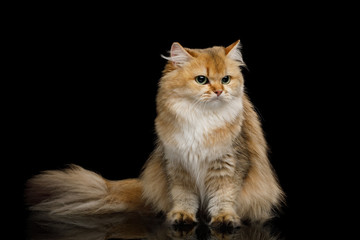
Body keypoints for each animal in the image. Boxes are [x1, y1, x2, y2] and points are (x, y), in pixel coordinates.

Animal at [26, 40, 284, 229]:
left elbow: (223, 197)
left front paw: (224, 219)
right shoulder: (177, 165)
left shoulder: (229, 164)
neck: (201, 118)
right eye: (202, 79)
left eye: (226, 79)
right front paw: (181, 216)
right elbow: (183, 197)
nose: (219, 91)